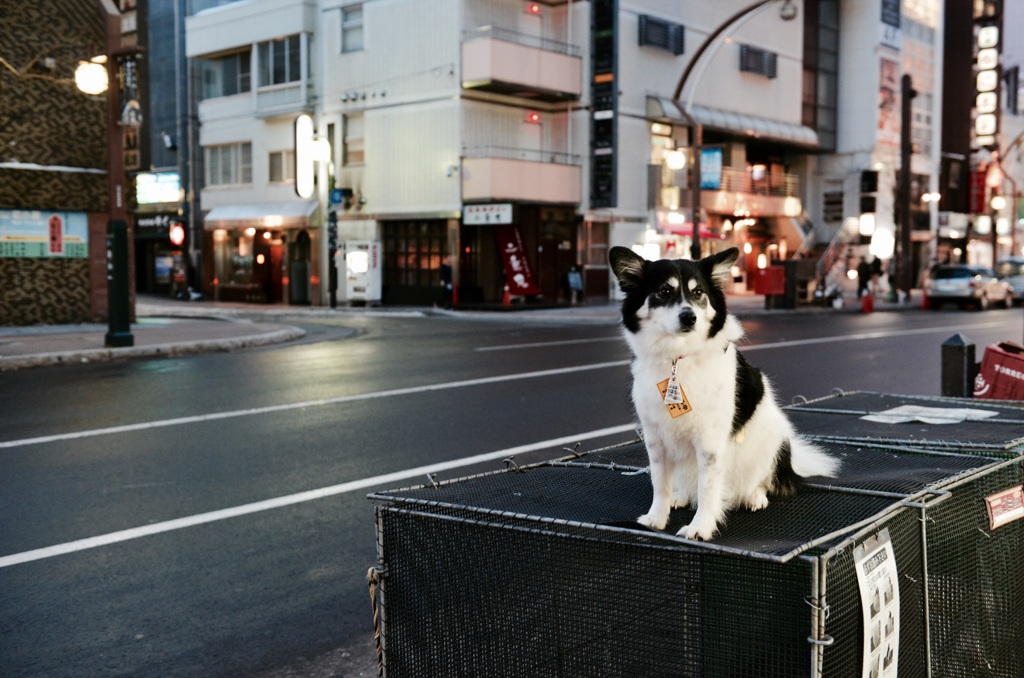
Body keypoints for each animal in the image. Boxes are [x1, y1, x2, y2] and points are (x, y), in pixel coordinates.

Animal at [610, 245, 835, 540]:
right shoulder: (655, 437)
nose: (689, 317)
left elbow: (708, 489)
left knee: (763, 479)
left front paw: (700, 527)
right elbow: (659, 483)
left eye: (698, 293)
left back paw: (753, 496)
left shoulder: (710, 442)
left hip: (774, 436)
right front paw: (657, 518)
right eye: (664, 291)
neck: (677, 360)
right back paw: (681, 495)